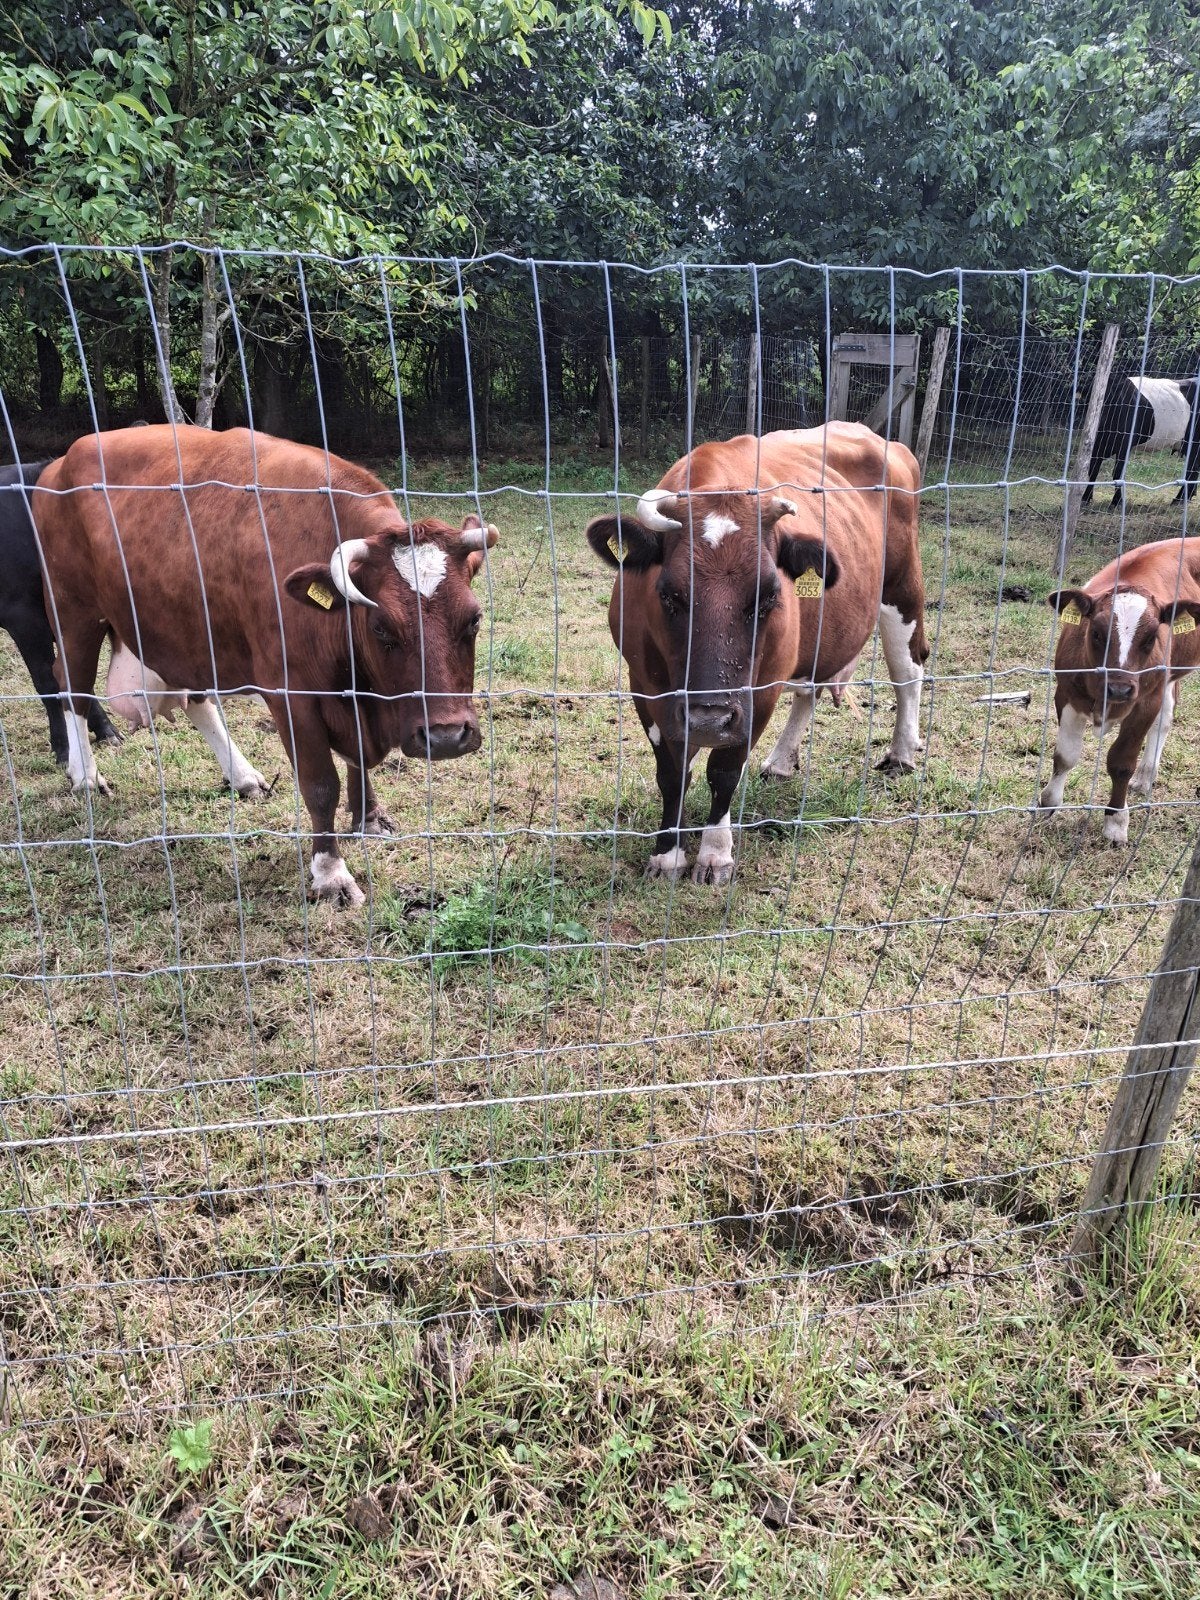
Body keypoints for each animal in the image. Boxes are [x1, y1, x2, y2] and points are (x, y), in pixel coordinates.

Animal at [32, 426, 498, 906]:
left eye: (474, 618)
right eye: (381, 626)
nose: (445, 737)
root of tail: (60, 462)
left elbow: (357, 762)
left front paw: (369, 817)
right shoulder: (292, 697)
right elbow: (319, 785)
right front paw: (330, 873)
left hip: (181, 632)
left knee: (196, 700)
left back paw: (242, 777)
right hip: (73, 613)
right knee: (71, 687)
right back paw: (86, 776)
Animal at [586, 423, 928, 885]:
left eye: (768, 596)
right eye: (670, 594)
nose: (709, 720)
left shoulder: (759, 692)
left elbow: (724, 771)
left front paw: (715, 854)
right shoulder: (644, 685)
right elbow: (672, 772)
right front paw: (668, 854)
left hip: (902, 589)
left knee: (909, 672)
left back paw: (902, 754)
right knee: (810, 690)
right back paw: (781, 761)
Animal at [1038, 538, 1200, 844]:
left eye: (1151, 637)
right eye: (1096, 632)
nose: (1120, 688)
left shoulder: (1145, 702)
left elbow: (1122, 762)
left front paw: (1116, 821)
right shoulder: (1065, 693)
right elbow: (1065, 755)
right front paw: (1048, 803)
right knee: (1166, 717)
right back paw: (1145, 778)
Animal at [1081, 374, 1200, 508]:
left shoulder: (1125, 443)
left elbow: (1118, 472)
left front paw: (1117, 502)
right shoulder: (1097, 444)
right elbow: (1093, 469)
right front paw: (1085, 498)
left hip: (1194, 442)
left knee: (1192, 469)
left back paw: (1180, 500)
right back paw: (1182, 498)